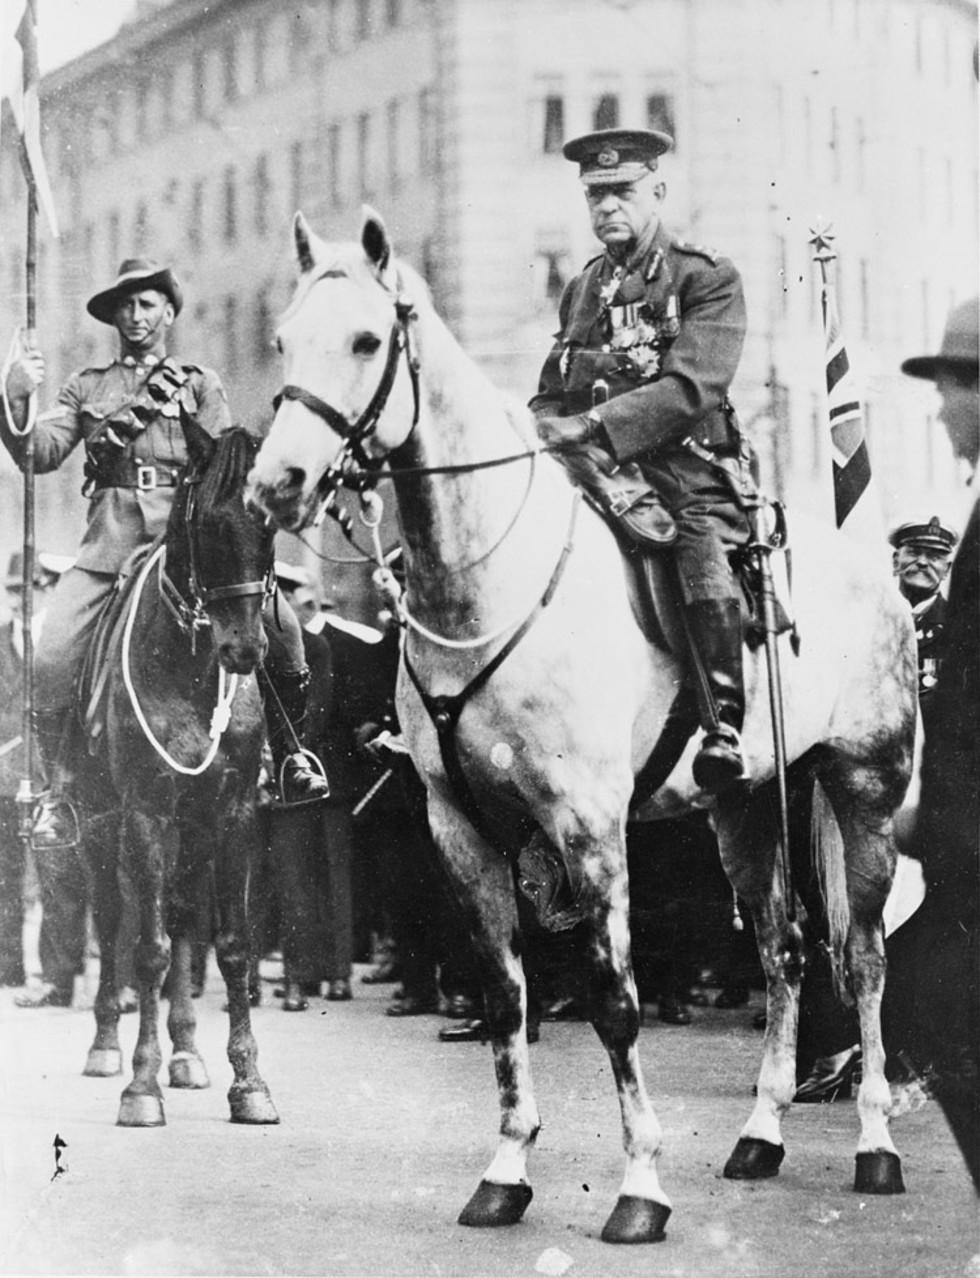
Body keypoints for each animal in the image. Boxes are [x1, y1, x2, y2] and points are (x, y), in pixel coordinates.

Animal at [77, 419, 278, 1129]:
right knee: (115, 921)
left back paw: (188, 1053)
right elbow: (148, 947)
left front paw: (250, 1083)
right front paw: (141, 1086)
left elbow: (233, 943)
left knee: (189, 924)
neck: (190, 668)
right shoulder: (145, 811)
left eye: (270, 525)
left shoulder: (235, 813)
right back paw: (106, 1046)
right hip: (102, 826)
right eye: (209, 525)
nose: (244, 650)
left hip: (193, 834)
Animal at [247, 212, 919, 1247]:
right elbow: (503, 994)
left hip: (865, 789)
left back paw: (875, 1143)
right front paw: (505, 1170)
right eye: (283, 340)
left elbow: (613, 1000)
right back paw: (761, 1132)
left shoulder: (589, 826)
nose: (275, 484)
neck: (488, 578)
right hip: (746, 806)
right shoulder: (461, 829)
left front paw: (641, 1185)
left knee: (866, 955)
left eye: (364, 340)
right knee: (785, 949)